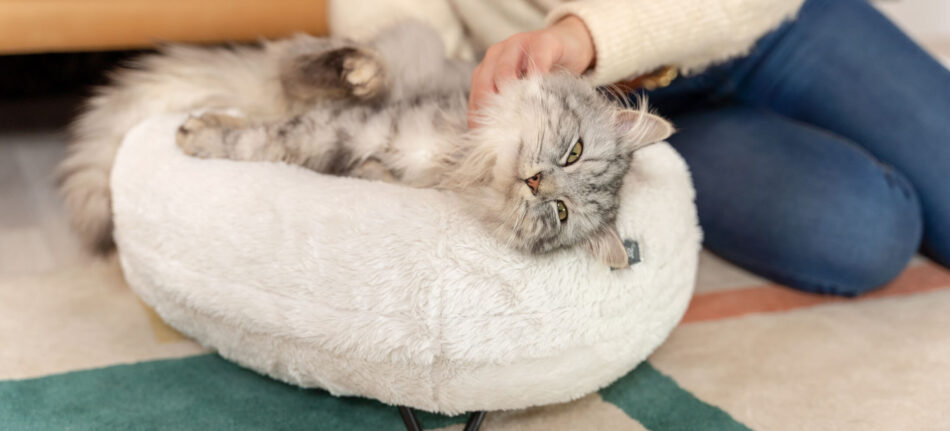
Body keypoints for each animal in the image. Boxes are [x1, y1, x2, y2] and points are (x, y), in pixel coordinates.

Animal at [59, 22, 672, 270]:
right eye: (573, 152)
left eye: (560, 212)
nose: (537, 181)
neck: (457, 159)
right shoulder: (352, 125)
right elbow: (258, 139)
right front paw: (201, 135)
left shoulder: (347, 144)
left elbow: (275, 144)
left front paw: (203, 134)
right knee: (305, 67)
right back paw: (356, 68)